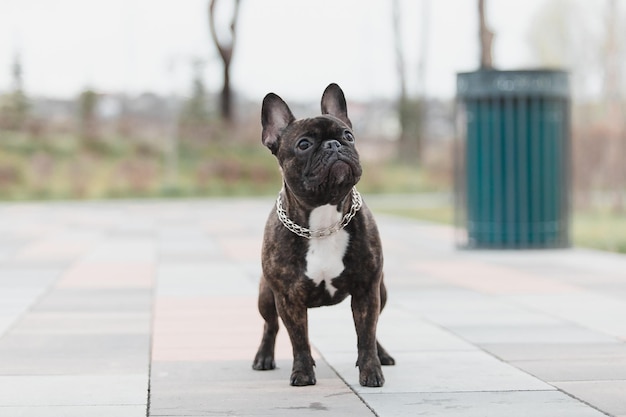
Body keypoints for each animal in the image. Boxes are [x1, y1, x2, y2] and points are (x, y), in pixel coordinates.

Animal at [251, 83, 392, 386]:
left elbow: (366, 334)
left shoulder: (367, 289)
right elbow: (299, 340)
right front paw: (303, 373)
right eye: (304, 144)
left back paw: (383, 355)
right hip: (266, 296)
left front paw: (371, 371)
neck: (324, 218)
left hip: (382, 290)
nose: (334, 144)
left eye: (348, 135)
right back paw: (264, 357)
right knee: (270, 325)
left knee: (374, 328)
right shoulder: (288, 297)